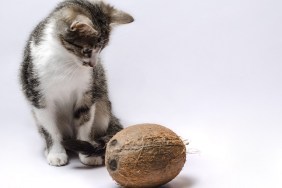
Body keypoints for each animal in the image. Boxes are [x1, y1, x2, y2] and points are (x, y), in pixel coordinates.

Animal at [19, 0, 133, 166]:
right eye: (87, 50)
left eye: (100, 49)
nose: (93, 64)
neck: (66, 60)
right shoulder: (38, 96)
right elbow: (49, 128)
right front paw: (56, 153)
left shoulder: (87, 92)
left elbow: (84, 121)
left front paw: (87, 154)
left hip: (103, 105)